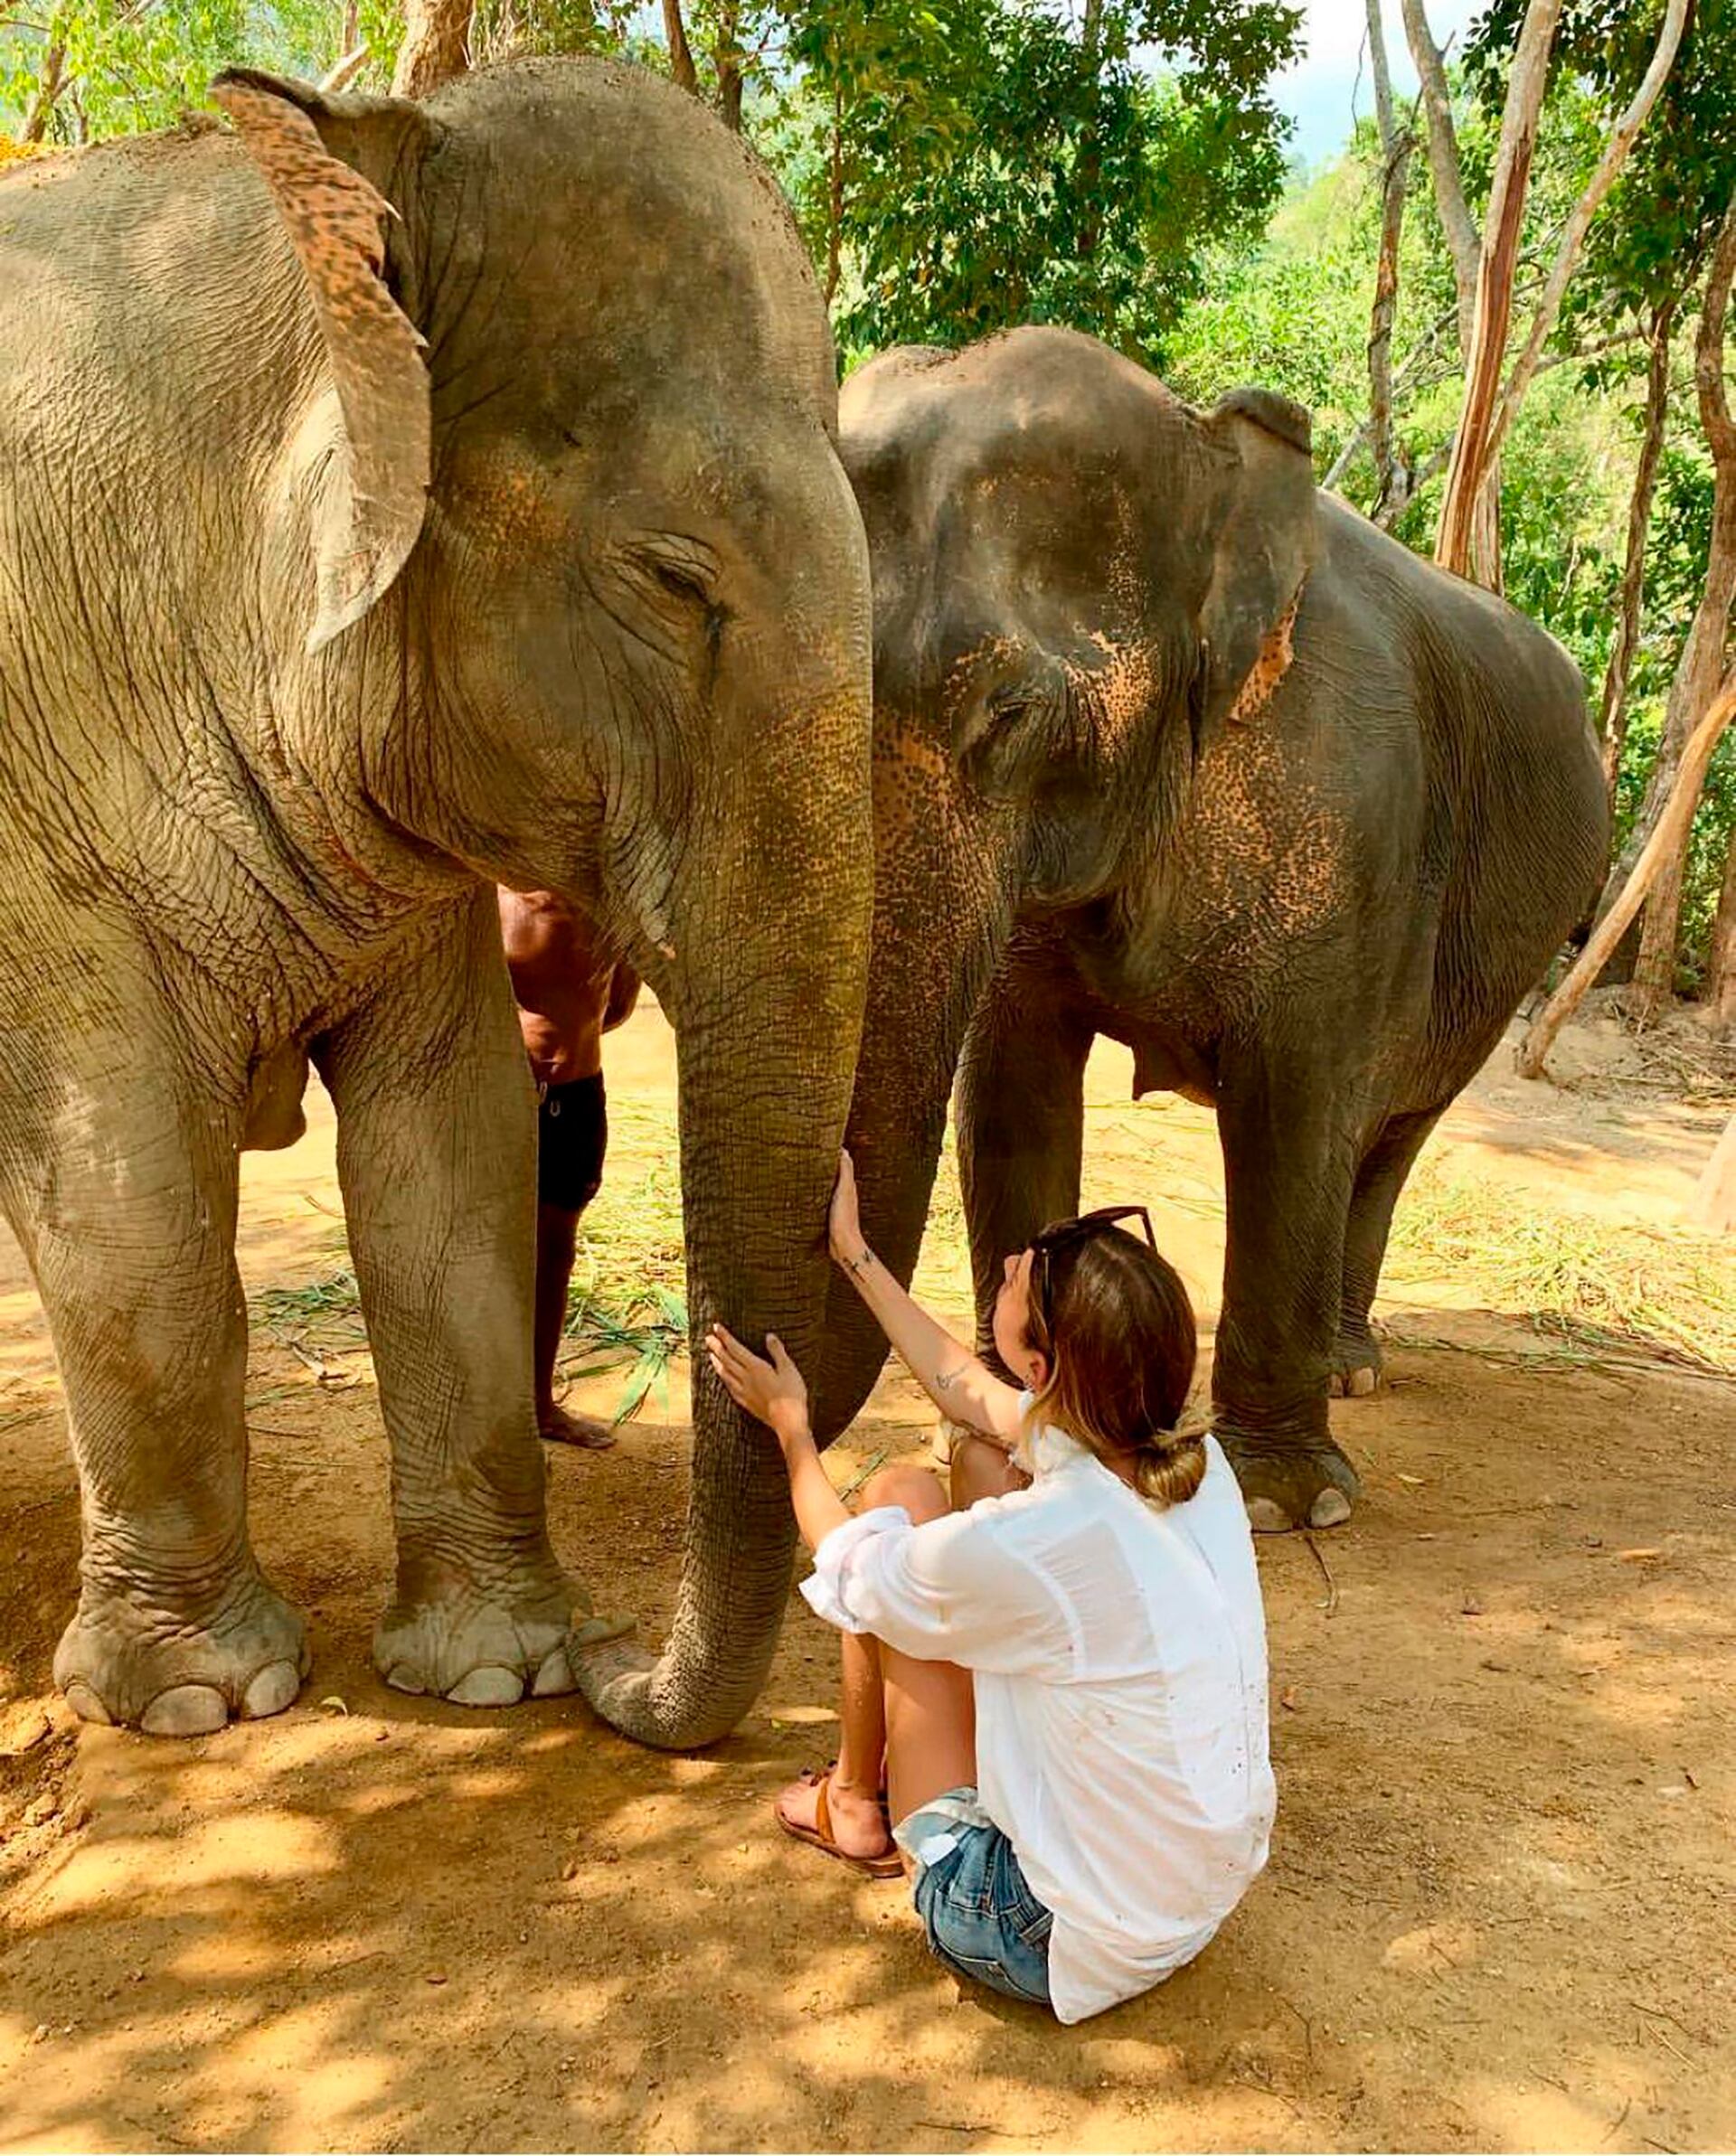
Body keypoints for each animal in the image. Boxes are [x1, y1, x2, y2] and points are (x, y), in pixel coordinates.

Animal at [0, 57, 873, 1741]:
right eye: (673, 579)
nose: (619, 1669)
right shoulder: (38, 797)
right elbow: (126, 1187)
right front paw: (202, 1703)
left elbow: (455, 1149)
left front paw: (494, 1672)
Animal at [809, 326, 1608, 1535]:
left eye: (1011, 714)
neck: (1201, 448)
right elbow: (1009, 1095)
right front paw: (1006, 1435)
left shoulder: (1347, 821)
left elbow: (1294, 1108)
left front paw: (1284, 1503)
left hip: (1496, 970)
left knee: (1386, 1131)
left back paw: (1347, 1373)